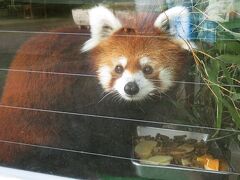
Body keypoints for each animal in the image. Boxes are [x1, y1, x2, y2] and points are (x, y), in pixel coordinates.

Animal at [0, 5, 192, 179]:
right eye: (118, 68)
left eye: (147, 69)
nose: (130, 88)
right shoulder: (88, 101)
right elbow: (104, 135)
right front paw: (117, 165)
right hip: (39, 118)